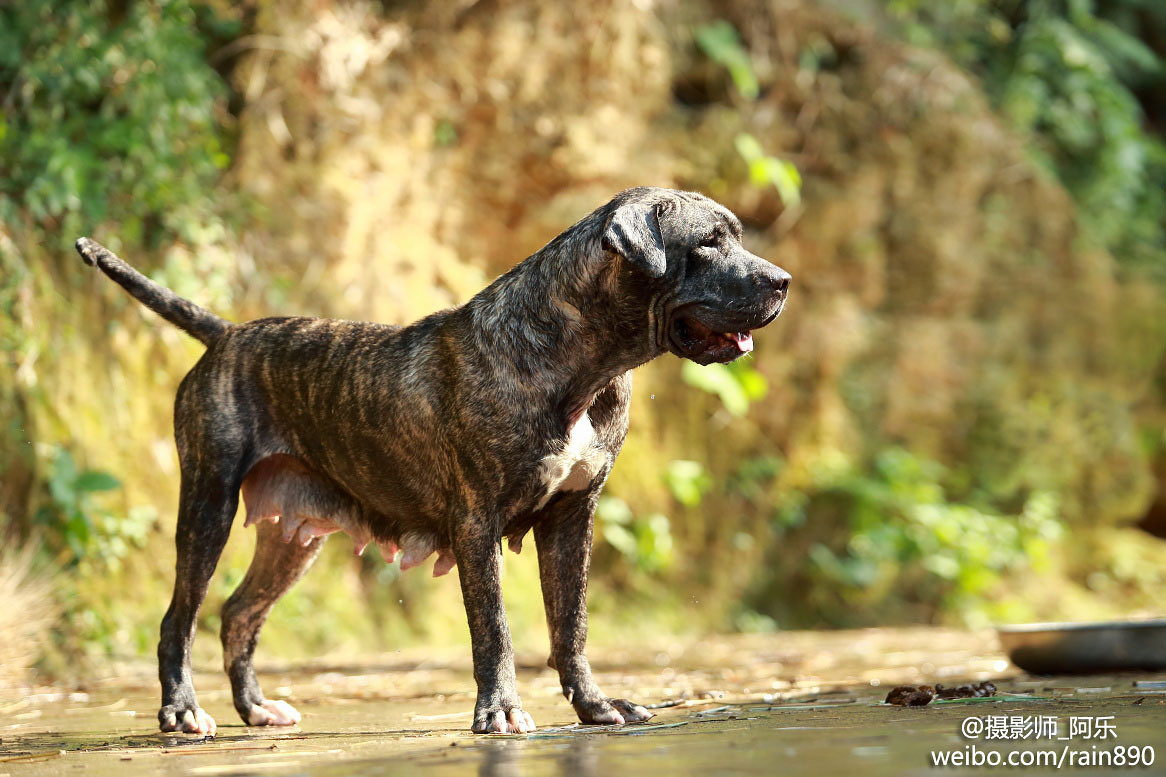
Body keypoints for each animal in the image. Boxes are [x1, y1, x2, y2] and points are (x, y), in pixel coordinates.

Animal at [75, 186, 792, 732]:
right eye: (708, 244)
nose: (783, 280)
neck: (581, 360)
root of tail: (226, 334)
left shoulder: (572, 518)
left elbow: (572, 626)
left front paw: (594, 706)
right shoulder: (477, 522)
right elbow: (495, 630)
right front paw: (500, 711)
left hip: (292, 539)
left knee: (237, 614)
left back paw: (254, 708)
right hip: (207, 505)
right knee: (179, 618)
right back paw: (181, 711)